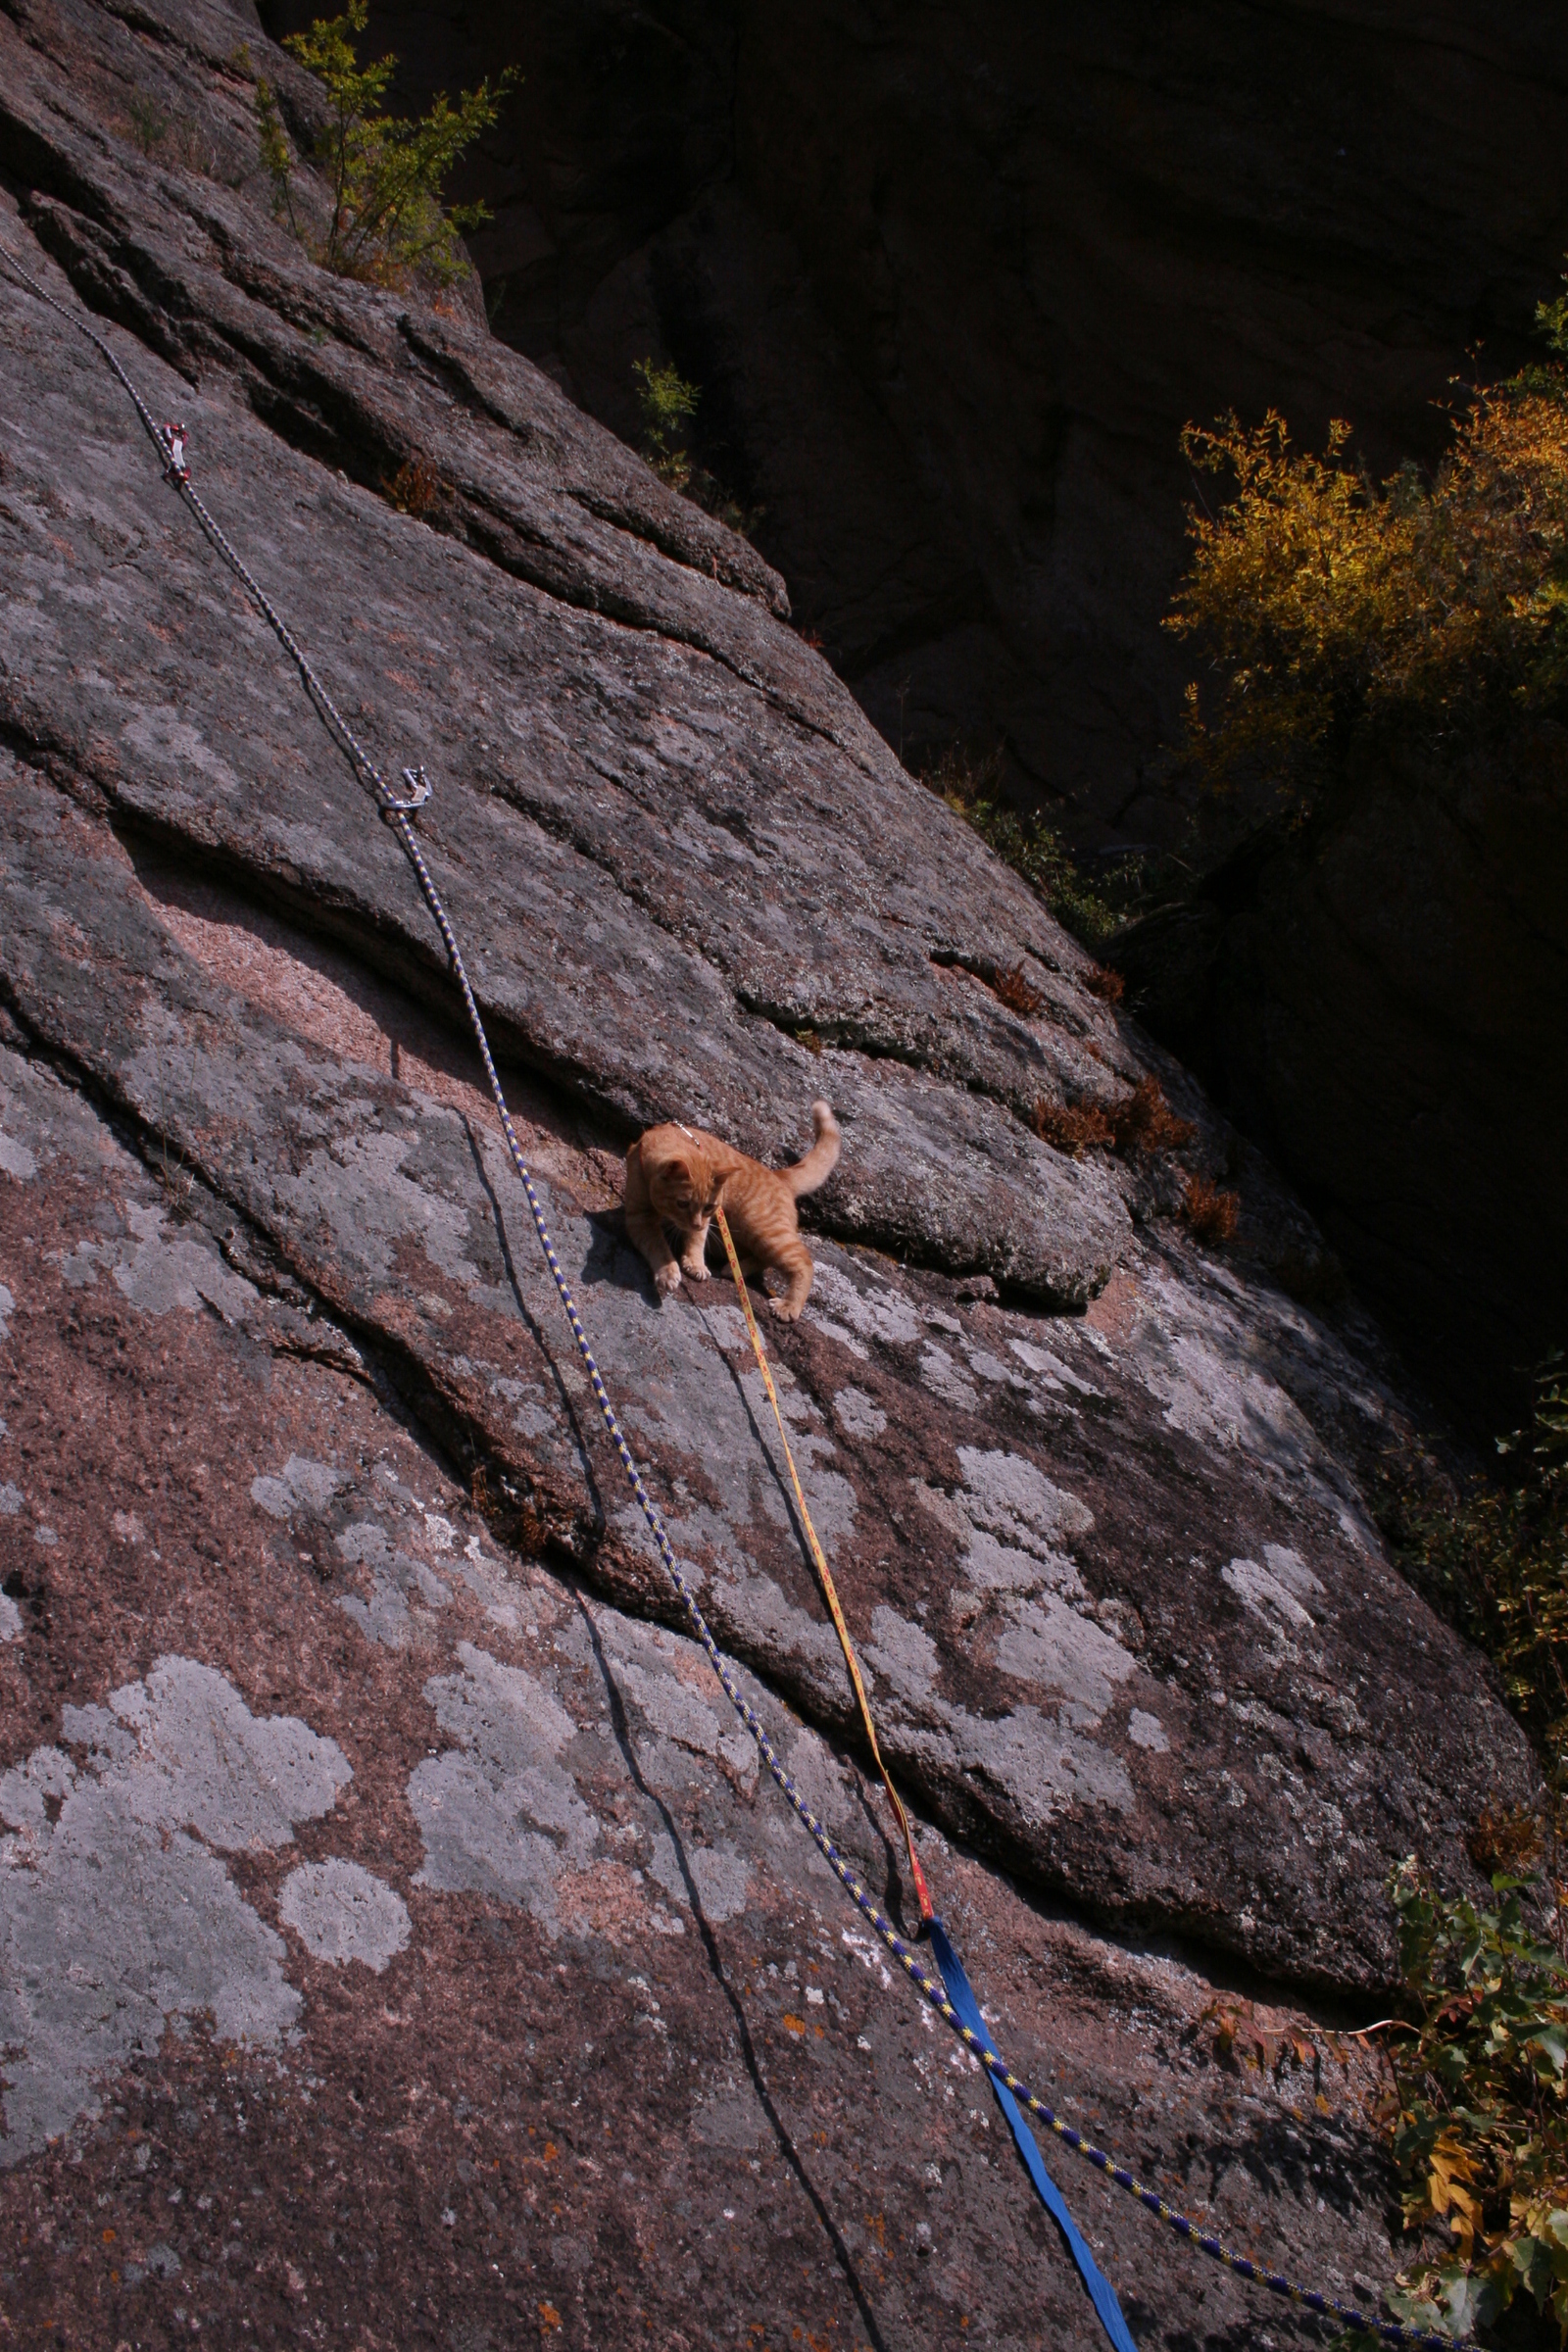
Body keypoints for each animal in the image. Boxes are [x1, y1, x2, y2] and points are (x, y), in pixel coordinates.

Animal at [625, 1101, 846, 1326]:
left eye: (708, 1207)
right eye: (682, 1203)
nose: (696, 1223)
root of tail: (779, 1175)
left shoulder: (705, 1220)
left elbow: (695, 1239)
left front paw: (694, 1263)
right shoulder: (639, 1218)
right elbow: (659, 1246)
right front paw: (669, 1270)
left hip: (762, 1229)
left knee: (803, 1262)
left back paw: (788, 1305)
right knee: (765, 1259)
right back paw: (737, 1269)